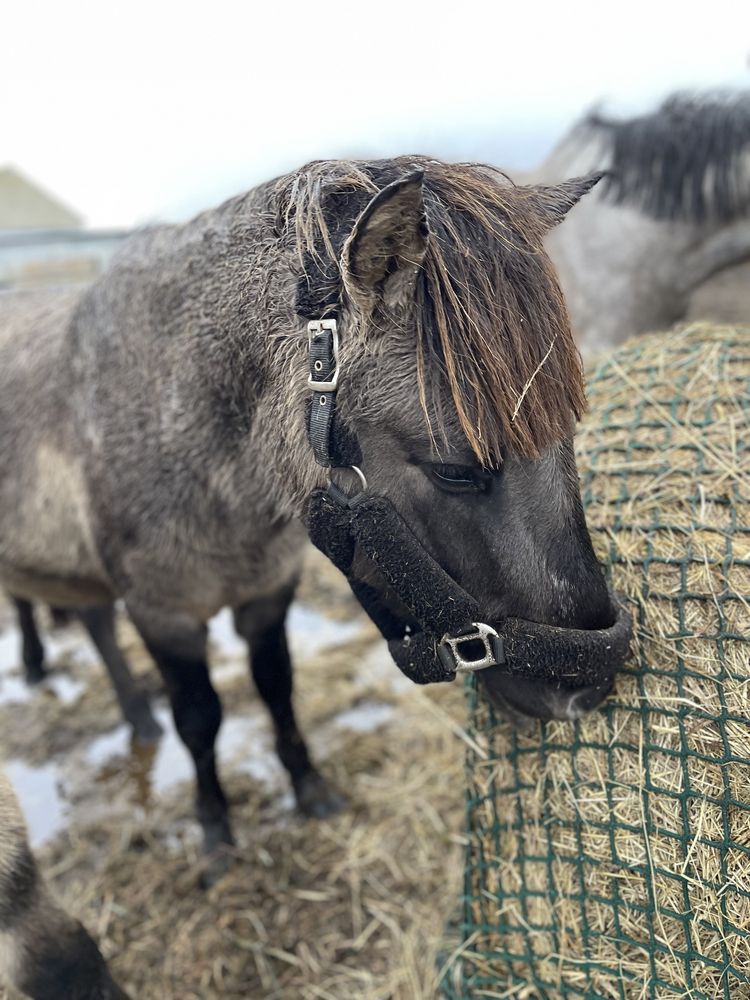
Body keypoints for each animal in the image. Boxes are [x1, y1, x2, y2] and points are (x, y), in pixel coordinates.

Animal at [0, 154, 620, 876]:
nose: (584, 691)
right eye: (455, 470)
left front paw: (309, 789)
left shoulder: (269, 594)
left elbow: (277, 687)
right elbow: (200, 718)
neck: (168, 416)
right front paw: (216, 834)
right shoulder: (163, 616)